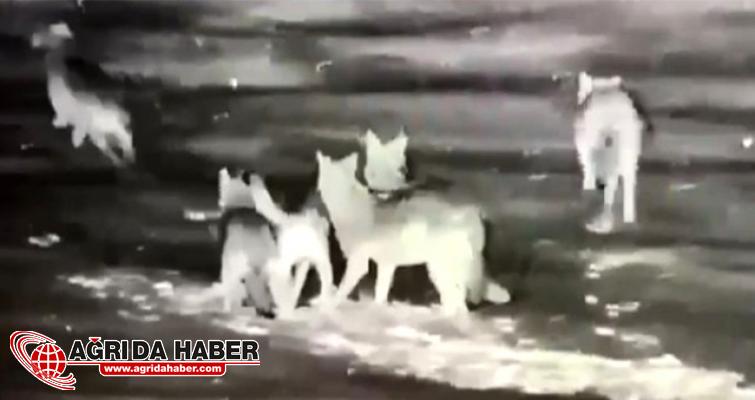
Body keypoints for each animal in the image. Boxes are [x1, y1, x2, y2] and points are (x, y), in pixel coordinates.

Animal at [32, 22, 134, 166]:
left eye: (49, 33)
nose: (33, 39)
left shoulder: (83, 123)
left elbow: (77, 137)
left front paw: (76, 142)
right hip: (106, 130)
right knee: (116, 142)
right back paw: (124, 158)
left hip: (111, 127)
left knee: (124, 138)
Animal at [316, 151, 510, 317]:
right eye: (329, 180)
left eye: (340, 181)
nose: (333, 192)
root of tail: (473, 211)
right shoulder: (387, 264)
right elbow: (380, 293)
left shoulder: (359, 262)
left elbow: (341, 290)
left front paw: (327, 308)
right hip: (438, 269)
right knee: (456, 300)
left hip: (442, 268)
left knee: (459, 300)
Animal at [554, 71, 655, 233]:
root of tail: (611, 117)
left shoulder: (585, 149)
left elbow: (588, 173)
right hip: (628, 147)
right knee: (628, 182)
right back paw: (628, 217)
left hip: (596, 144)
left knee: (605, 180)